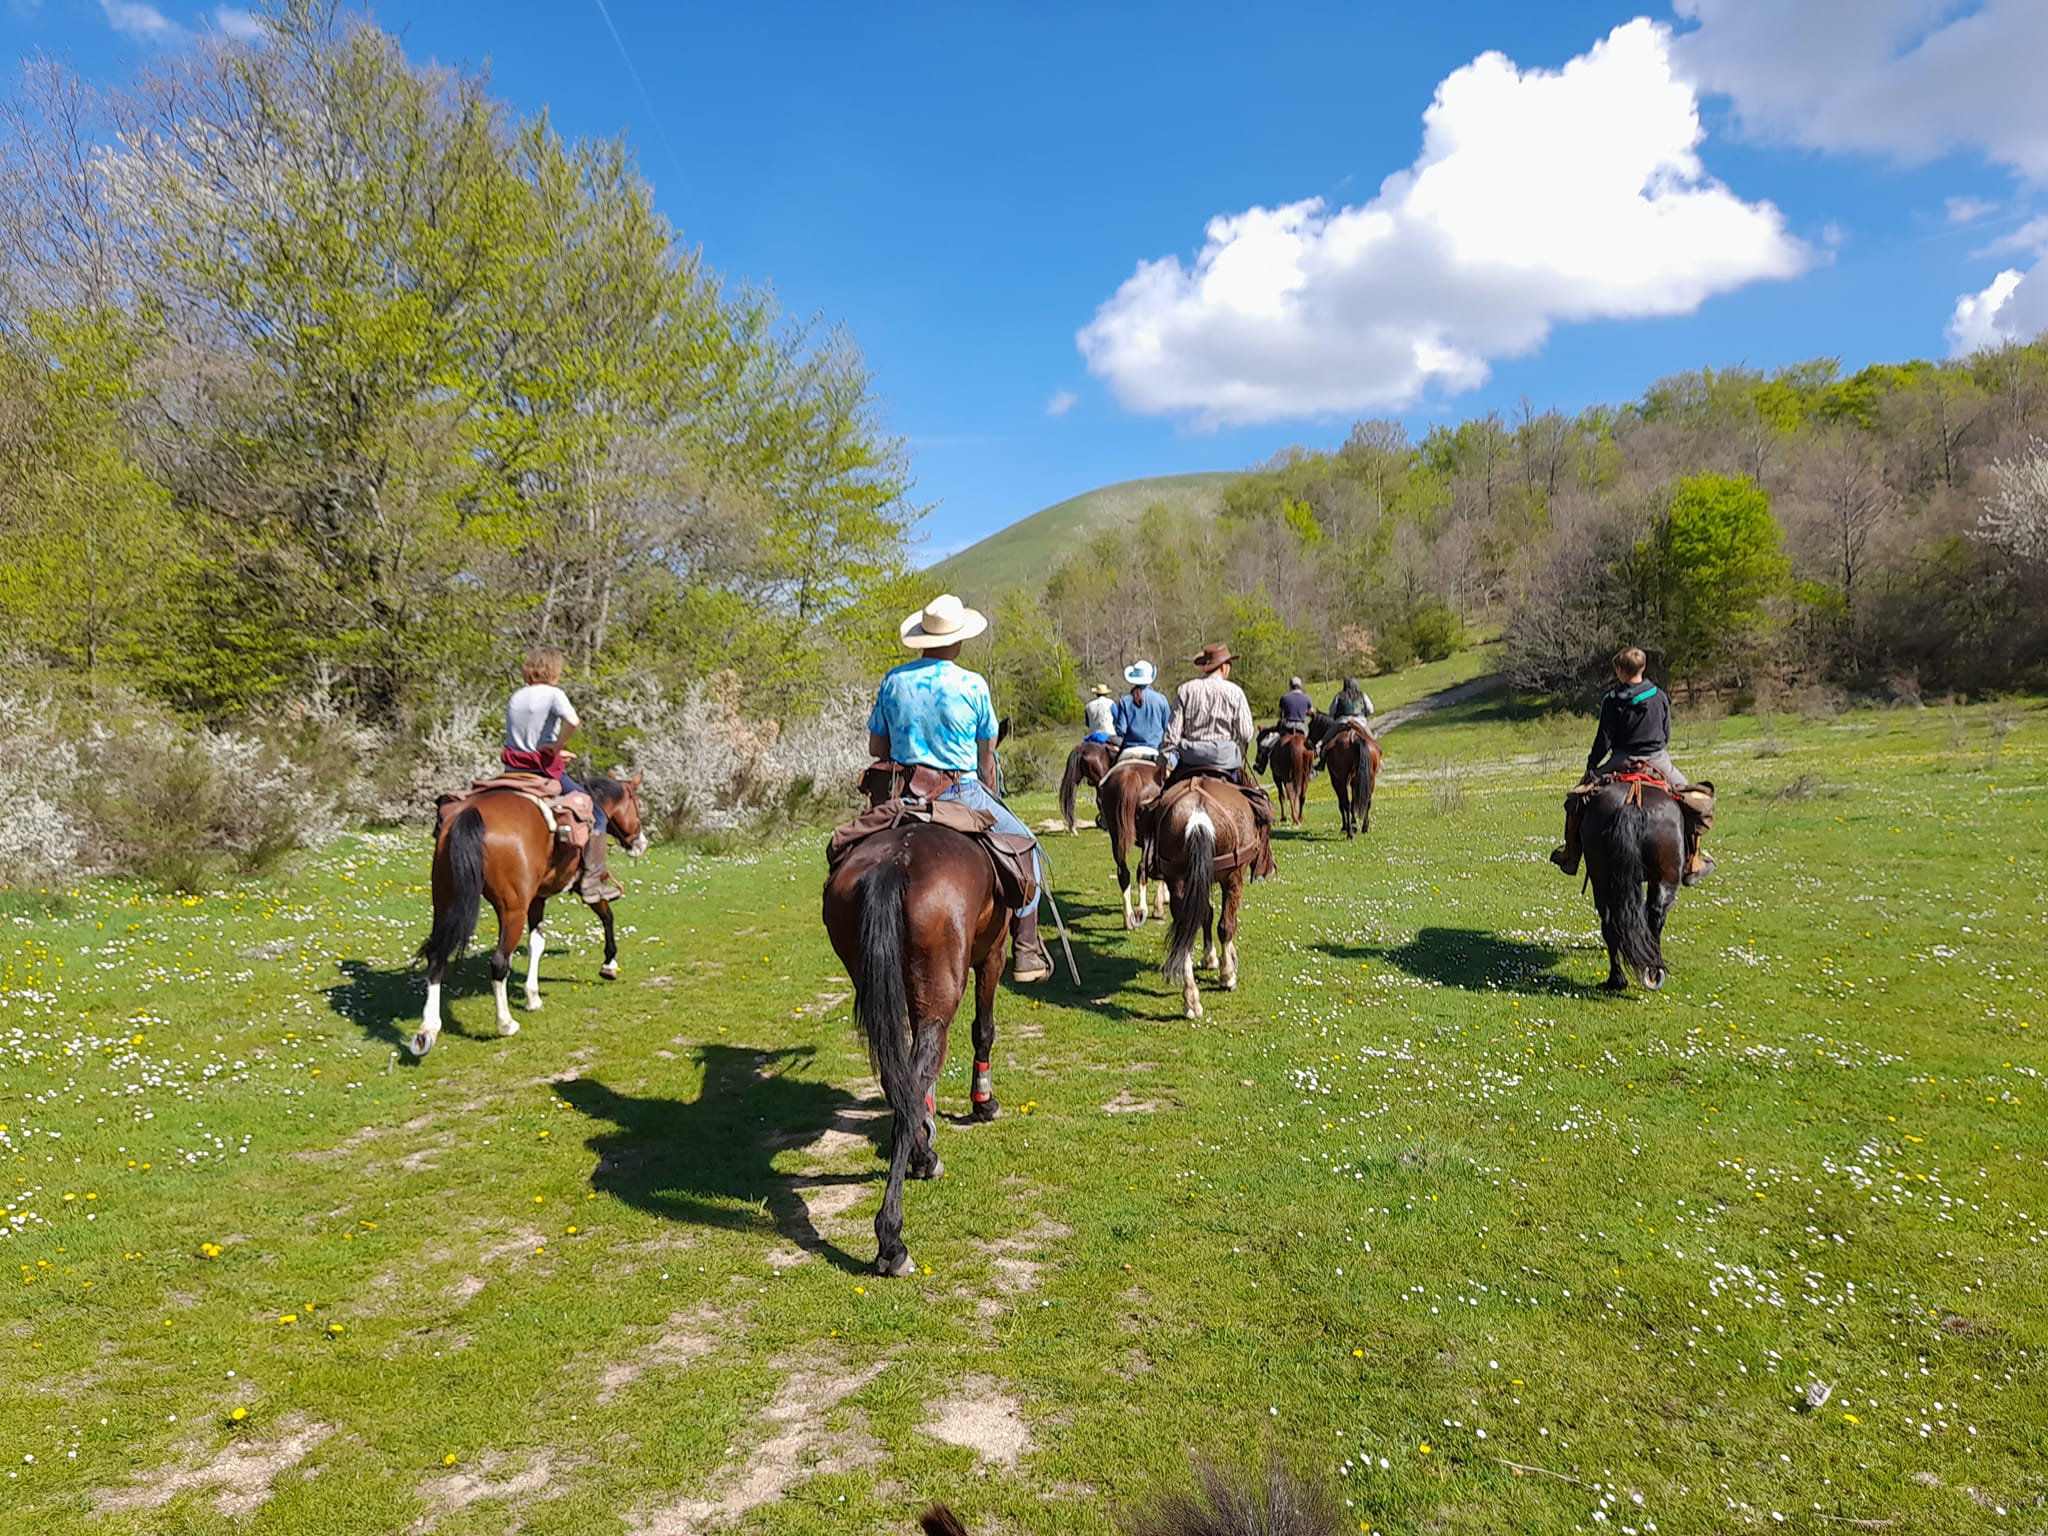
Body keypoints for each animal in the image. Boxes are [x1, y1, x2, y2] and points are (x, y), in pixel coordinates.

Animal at [412, 774, 648, 1056]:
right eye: (637, 805)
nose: (641, 843)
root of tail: (471, 813)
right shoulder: (586, 887)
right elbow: (607, 916)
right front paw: (609, 964)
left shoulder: (537, 899)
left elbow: (537, 942)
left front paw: (532, 996)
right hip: (512, 910)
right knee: (499, 962)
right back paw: (506, 1023)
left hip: (445, 902)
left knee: (437, 956)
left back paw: (428, 1029)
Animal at [821, 757, 1012, 1277]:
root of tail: (894, 863)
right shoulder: (993, 954)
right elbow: (984, 1030)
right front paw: (983, 1102)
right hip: (943, 991)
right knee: (922, 1063)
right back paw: (893, 1236)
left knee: (898, 1078)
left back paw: (920, 1155)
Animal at [1095, 755, 1170, 928]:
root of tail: (1130, 777)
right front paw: (1159, 906)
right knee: (1142, 868)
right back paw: (1142, 910)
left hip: (1116, 838)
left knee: (1124, 873)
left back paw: (1128, 918)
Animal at [1152, 777, 1261, 1019]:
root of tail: (1198, 816)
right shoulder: (1232, 876)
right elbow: (1225, 923)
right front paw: (1227, 967)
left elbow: (1204, 915)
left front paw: (1210, 958)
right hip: (1232, 876)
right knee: (1225, 925)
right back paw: (1226, 978)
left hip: (1177, 879)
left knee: (1184, 932)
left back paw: (1191, 1000)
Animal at [1581, 777, 1683, 991]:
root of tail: (1632, 801)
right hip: (1664, 880)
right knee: (1655, 918)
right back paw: (1650, 973)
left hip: (1601, 879)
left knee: (1609, 923)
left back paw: (1619, 978)